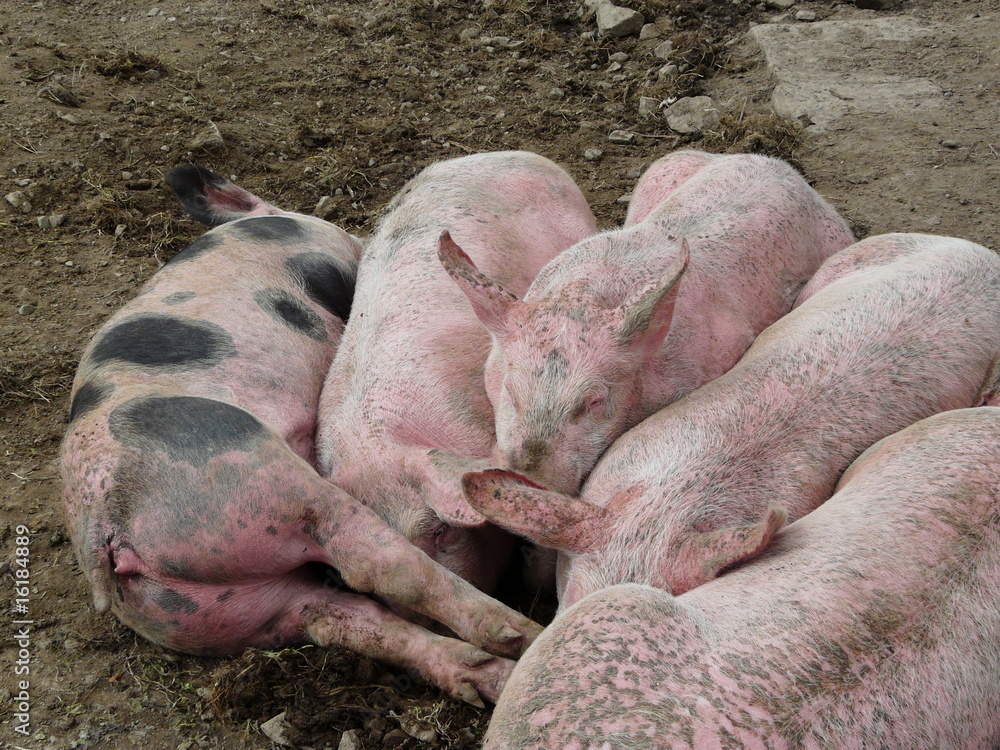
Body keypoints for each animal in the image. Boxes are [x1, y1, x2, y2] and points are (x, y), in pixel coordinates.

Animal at [59, 166, 541, 707]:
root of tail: (103, 527)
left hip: (226, 610)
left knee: (347, 621)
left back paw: (492, 678)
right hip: (252, 475)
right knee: (377, 562)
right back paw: (523, 632)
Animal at [440, 149, 855, 496]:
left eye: (593, 401)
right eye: (510, 391)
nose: (523, 478)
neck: (583, 299)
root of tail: (783, 168)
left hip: (836, 239)